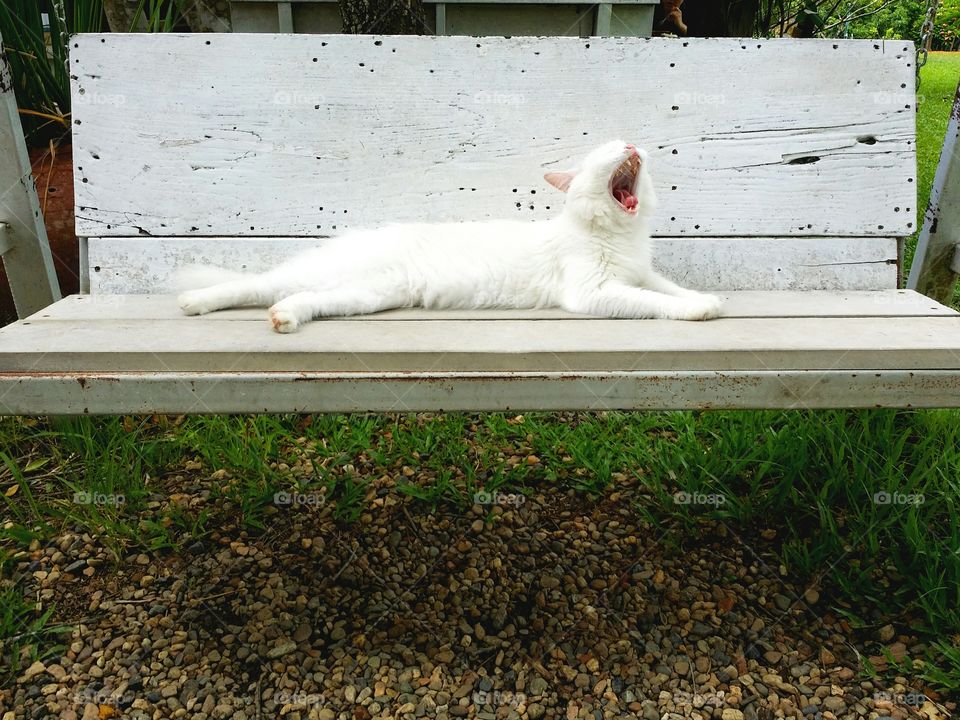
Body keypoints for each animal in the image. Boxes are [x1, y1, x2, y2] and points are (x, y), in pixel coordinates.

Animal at [178, 141, 720, 334]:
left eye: (625, 145)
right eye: (605, 153)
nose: (629, 145)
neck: (621, 234)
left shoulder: (641, 272)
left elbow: (669, 287)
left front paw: (705, 299)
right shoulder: (595, 293)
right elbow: (653, 302)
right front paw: (694, 312)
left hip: (363, 295)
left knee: (297, 299)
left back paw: (285, 317)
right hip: (330, 278)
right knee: (252, 285)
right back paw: (194, 301)